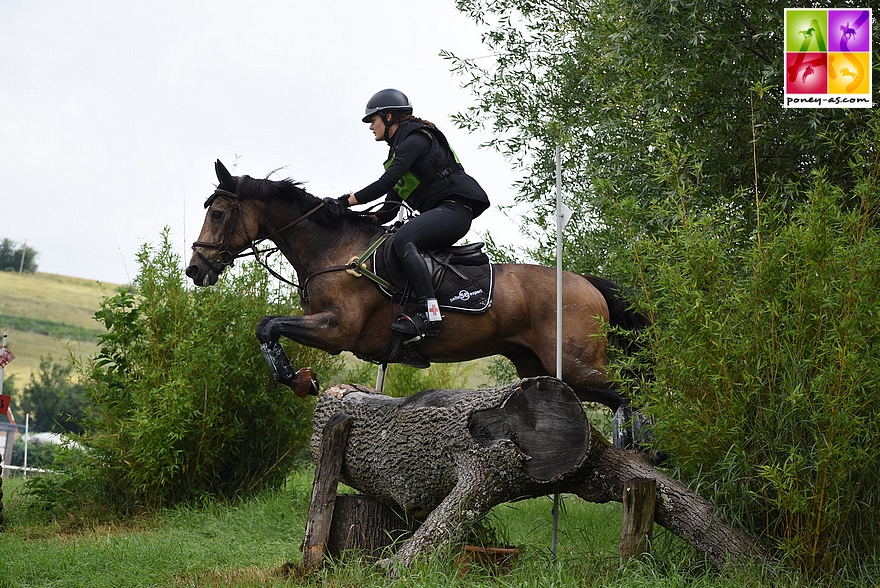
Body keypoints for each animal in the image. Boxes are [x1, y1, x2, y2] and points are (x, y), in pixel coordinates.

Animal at [187, 158, 652, 412]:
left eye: (219, 214)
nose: (195, 270)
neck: (332, 249)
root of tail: (586, 283)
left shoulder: (338, 329)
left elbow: (267, 325)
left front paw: (299, 380)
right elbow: (268, 327)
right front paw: (301, 380)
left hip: (575, 365)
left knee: (633, 393)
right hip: (540, 367)